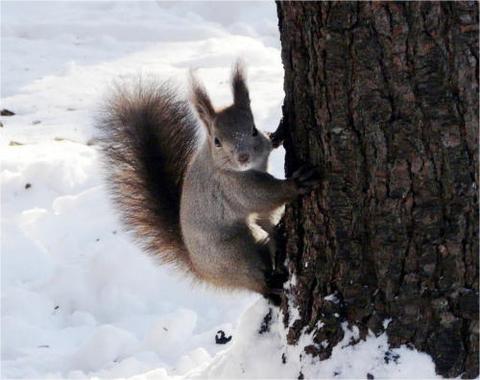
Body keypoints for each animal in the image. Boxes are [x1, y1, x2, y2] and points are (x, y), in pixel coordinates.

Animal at [98, 63, 318, 306]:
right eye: (217, 141)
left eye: (253, 130)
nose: (243, 157)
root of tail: (201, 270)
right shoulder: (233, 189)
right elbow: (264, 195)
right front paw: (297, 183)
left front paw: (278, 132)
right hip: (235, 254)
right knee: (257, 282)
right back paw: (274, 288)